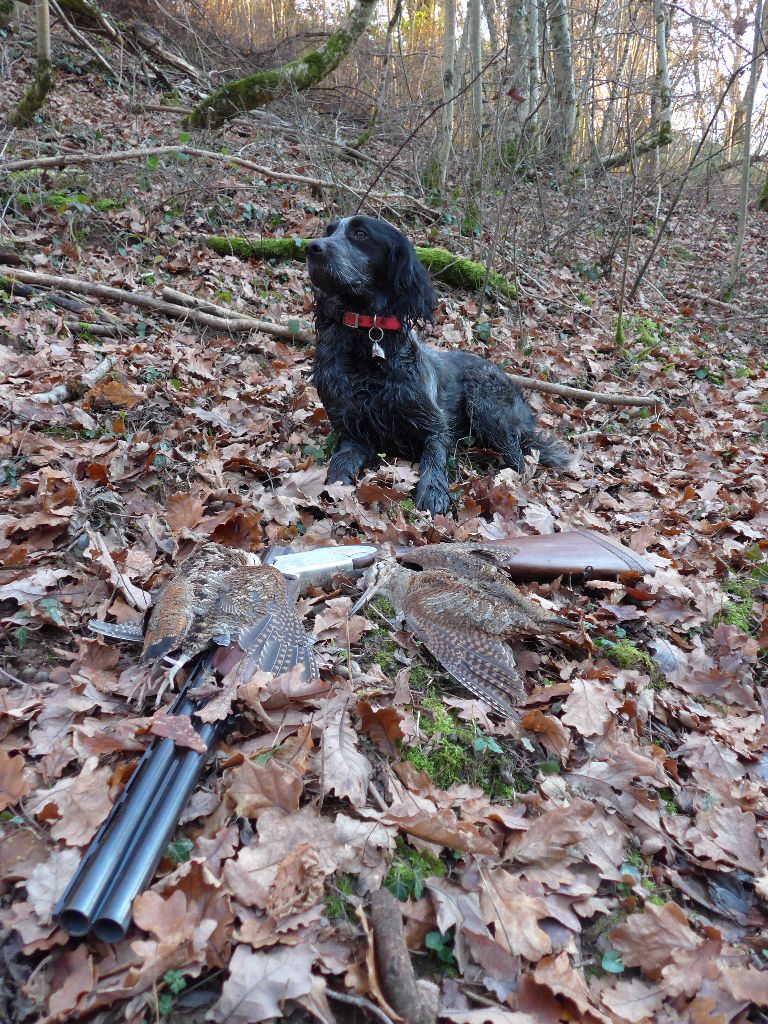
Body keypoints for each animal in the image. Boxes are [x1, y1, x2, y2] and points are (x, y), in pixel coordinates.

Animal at [307, 216, 570, 515]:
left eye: (360, 234)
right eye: (329, 231)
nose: (311, 247)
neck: (366, 346)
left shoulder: (434, 426)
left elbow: (434, 456)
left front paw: (433, 493)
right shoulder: (355, 431)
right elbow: (341, 460)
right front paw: (336, 485)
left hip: (485, 403)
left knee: (517, 458)